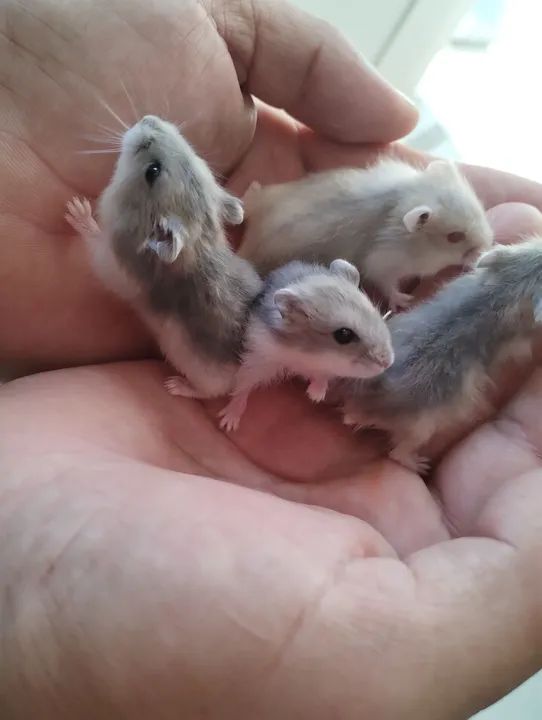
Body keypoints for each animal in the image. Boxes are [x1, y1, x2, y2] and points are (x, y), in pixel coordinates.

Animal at [65, 115, 262, 399]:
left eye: (153, 171)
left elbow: (96, 245)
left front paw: (76, 209)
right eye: (197, 157)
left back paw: (177, 386)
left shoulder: (114, 264)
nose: (148, 118)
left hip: (204, 375)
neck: (200, 240)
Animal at [218, 258, 394, 432]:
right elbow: (243, 386)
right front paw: (227, 423)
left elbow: (322, 376)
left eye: (375, 312)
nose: (388, 363)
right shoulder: (259, 358)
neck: (306, 354)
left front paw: (315, 395)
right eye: (343, 334)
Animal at [238, 158, 494, 310]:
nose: (488, 243)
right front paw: (405, 301)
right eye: (455, 237)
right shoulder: (383, 263)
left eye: (479, 209)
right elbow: (388, 285)